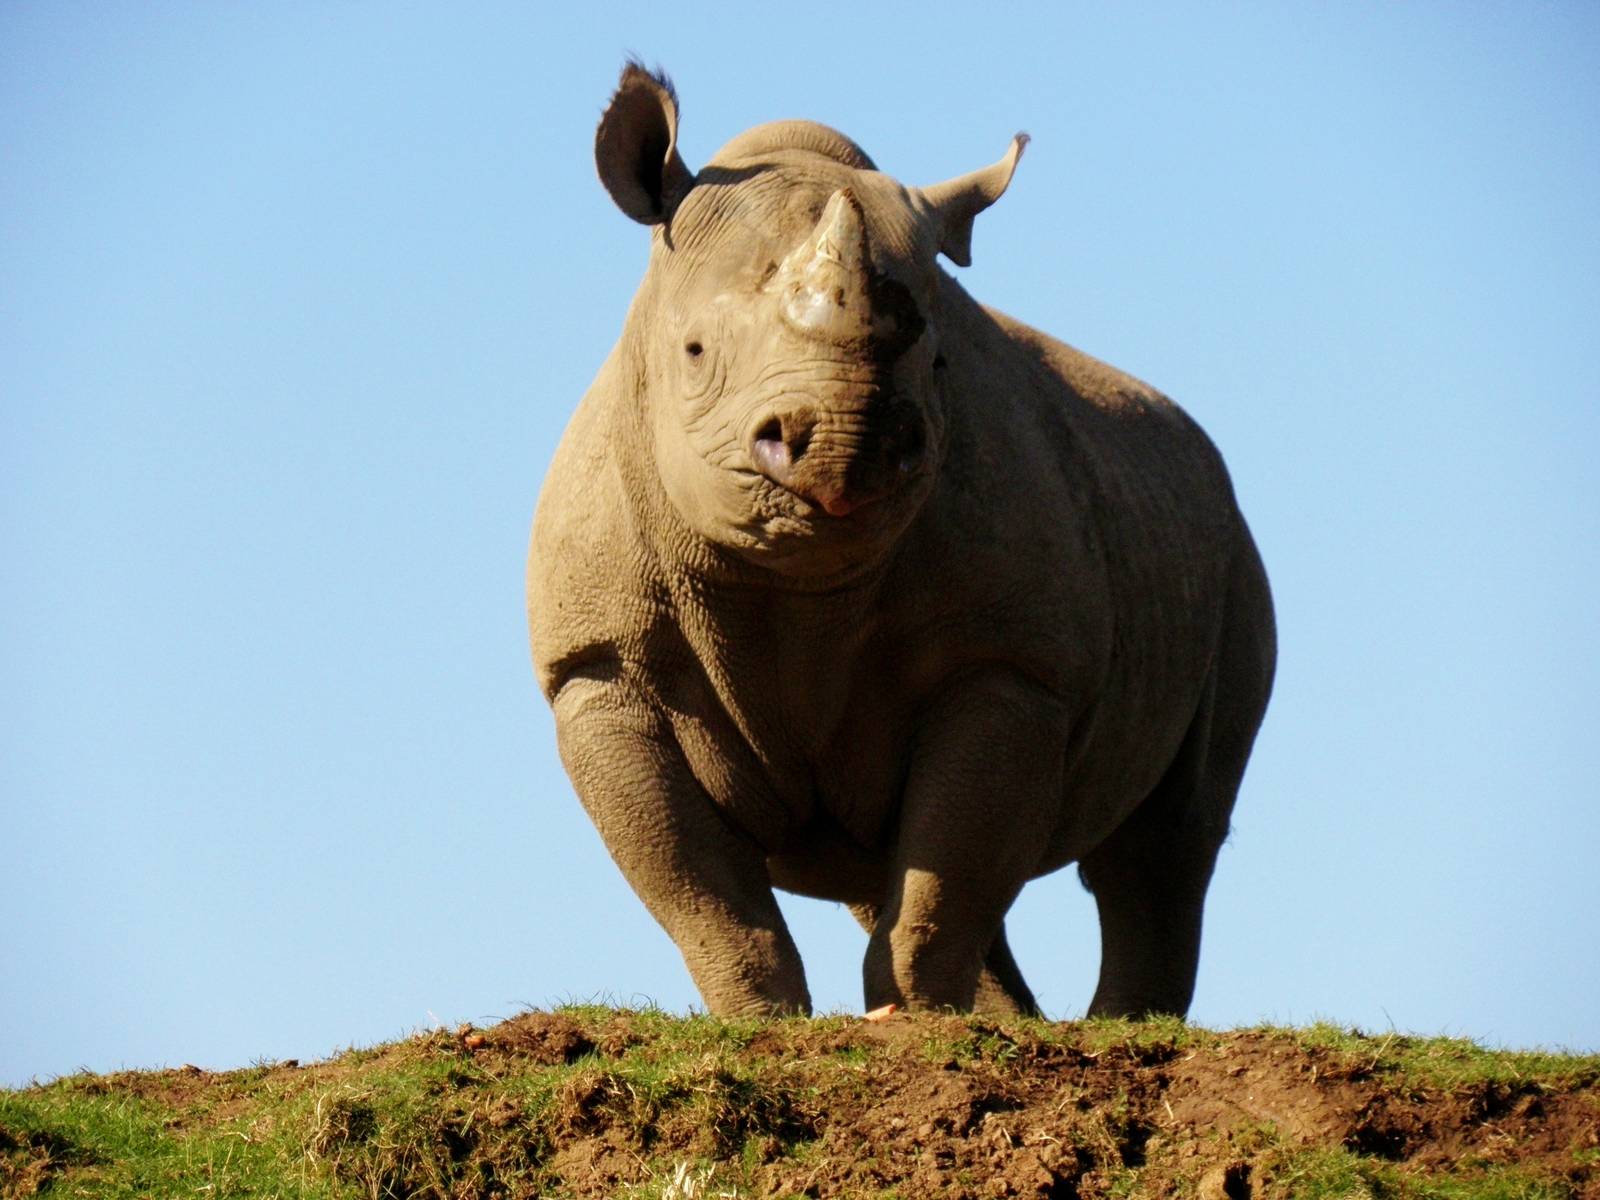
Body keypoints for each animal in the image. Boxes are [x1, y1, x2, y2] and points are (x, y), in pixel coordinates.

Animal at [528, 63, 1275, 1019]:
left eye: (943, 363)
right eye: (693, 352)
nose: (851, 443)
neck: (794, 584)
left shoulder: (1013, 663)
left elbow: (949, 867)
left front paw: (915, 1020)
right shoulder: (599, 668)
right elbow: (698, 887)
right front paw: (766, 1020)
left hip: (1231, 551)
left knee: (1162, 844)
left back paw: (1111, 1027)